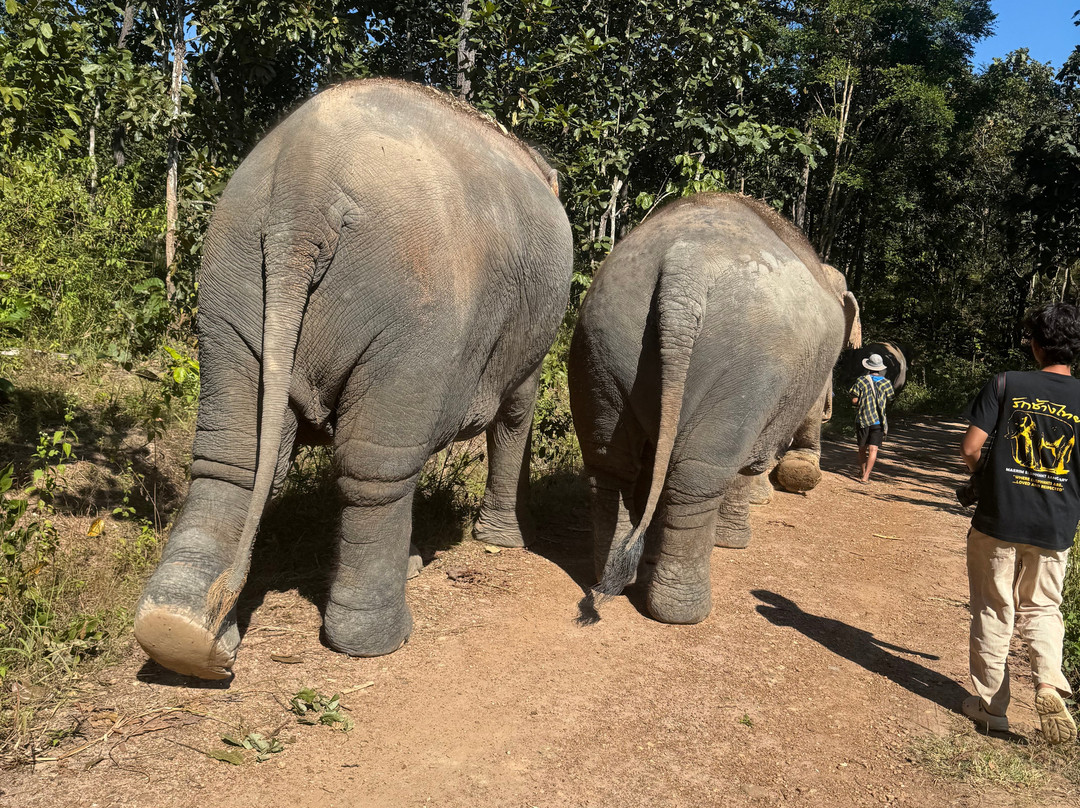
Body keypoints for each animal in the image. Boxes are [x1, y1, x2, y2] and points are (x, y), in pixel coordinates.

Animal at [133, 79, 573, 679]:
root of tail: (302, 192)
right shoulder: (526, 332)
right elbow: (515, 412)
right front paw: (503, 544)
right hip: (412, 311)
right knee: (374, 467)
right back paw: (377, 638)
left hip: (229, 283)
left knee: (232, 457)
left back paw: (179, 632)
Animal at [568, 193, 848, 624]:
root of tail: (687, 266)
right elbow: (749, 461)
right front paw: (733, 542)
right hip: (748, 365)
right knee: (699, 474)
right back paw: (682, 611)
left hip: (603, 336)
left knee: (609, 466)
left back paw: (614, 574)